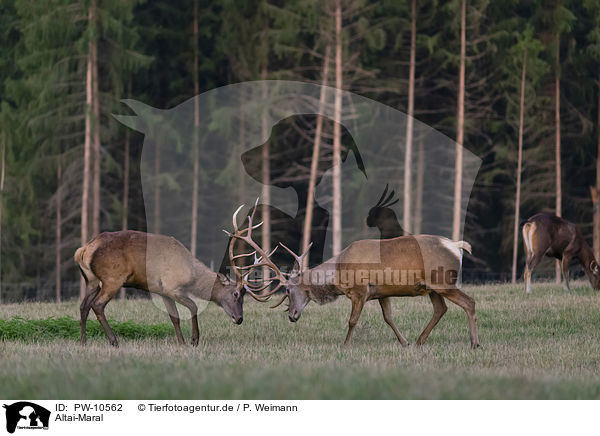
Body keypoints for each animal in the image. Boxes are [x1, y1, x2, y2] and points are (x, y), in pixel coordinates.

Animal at [72, 228, 264, 348]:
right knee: (97, 305)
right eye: (236, 293)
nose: (239, 318)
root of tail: (83, 250)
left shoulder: (162, 291)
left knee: (83, 306)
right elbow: (193, 306)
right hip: (113, 278)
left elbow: (174, 317)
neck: (190, 273)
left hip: (92, 280)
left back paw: (83, 342)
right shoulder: (172, 287)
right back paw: (114, 341)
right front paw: (194, 340)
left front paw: (182, 343)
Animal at [227, 203, 480, 350]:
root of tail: (457, 246)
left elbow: (352, 320)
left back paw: (475, 343)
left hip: (443, 280)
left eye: (288, 290)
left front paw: (345, 344)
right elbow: (388, 318)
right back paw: (419, 341)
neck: (339, 272)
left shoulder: (360, 290)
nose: (291, 316)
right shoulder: (381, 292)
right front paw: (404, 341)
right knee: (441, 309)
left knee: (469, 302)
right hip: (432, 287)